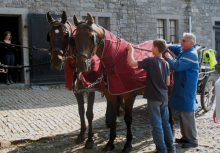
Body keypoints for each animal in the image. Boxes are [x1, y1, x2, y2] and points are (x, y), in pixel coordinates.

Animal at [46, 10, 124, 149]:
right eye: (50, 35)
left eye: (66, 35)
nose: (56, 61)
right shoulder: (77, 91)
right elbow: (81, 111)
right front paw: (81, 134)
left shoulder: (90, 89)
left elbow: (89, 113)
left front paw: (90, 139)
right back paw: (109, 120)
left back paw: (116, 118)